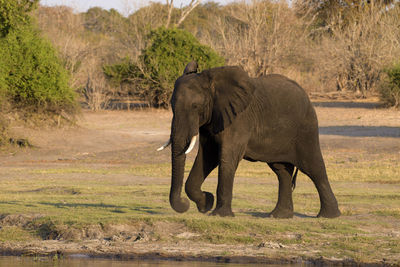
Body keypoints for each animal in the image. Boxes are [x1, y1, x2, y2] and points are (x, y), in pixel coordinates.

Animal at [157, 62, 340, 220]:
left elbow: (226, 157)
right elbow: (207, 156)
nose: (185, 204)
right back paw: (278, 216)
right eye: (171, 106)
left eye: (195, 106)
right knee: (282, 170)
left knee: (314, 168)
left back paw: (328, 216)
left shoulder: (239, 119)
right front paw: (206, 204)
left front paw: (219, 214)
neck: (213, 83)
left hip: (306, 128)